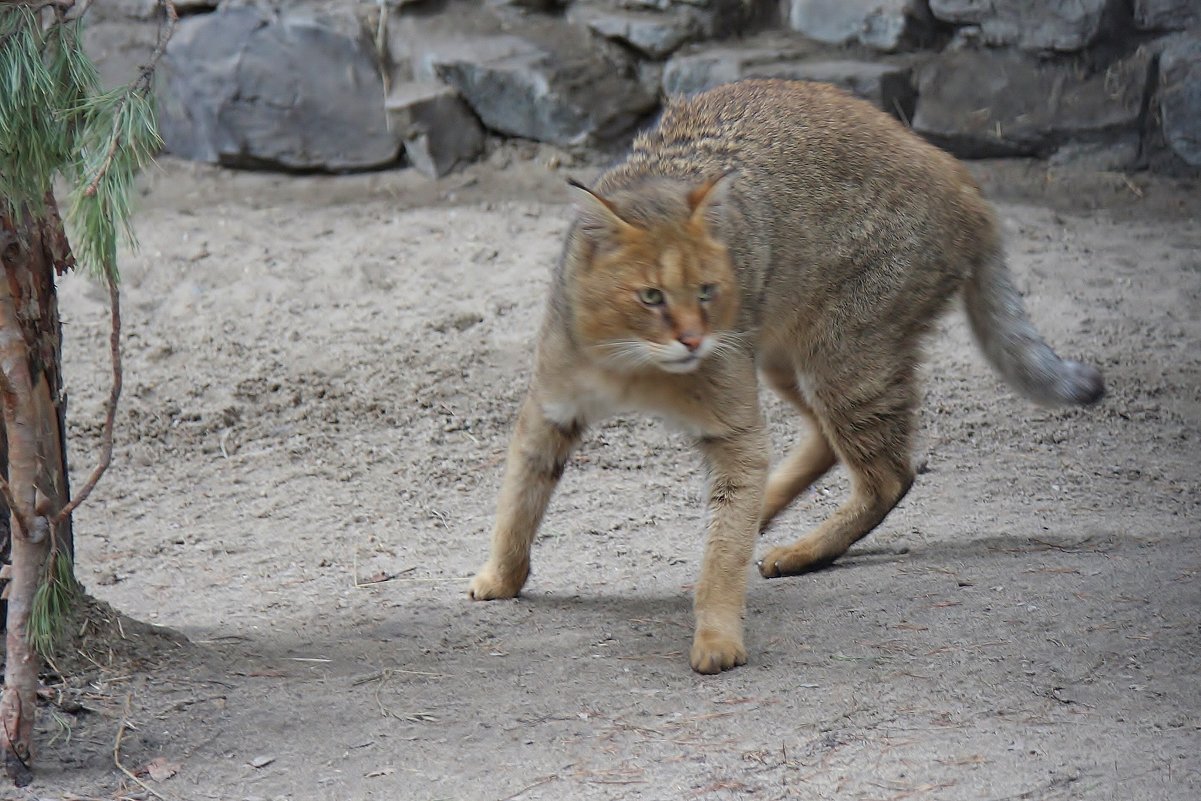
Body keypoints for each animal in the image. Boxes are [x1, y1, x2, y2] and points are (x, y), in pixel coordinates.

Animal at [463, 78, 1100, 672]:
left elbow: (721, 559)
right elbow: (519, 501)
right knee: (824, 444)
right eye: (651, 297)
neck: (638, 369)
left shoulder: (735, 429)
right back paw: (768, 510)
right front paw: (502, 574)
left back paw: (801, 549)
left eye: (706, 292)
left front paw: (717, 635)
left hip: (844, 356)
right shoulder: (550, 410)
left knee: (889, 476)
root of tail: (964, 179)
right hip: (789, 357)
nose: (692, 338)